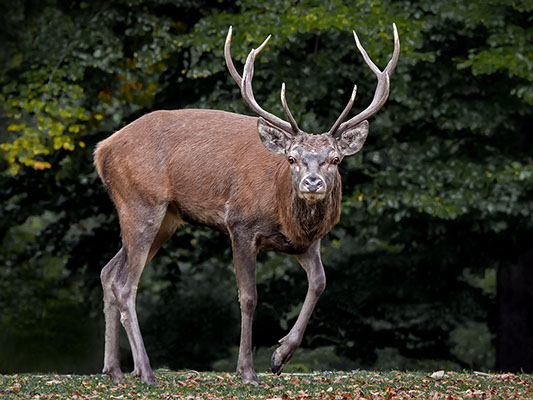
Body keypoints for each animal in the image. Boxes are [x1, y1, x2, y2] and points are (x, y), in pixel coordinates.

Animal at [92, 24, 400, 384]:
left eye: (335, 159)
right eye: (292, 158)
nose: (312, 183)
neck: (281, 209)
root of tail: (101, 150)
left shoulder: (306, 242)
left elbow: (320, 283)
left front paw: (280, 356)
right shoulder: (240, 224)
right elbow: (249, 297)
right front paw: (247, 371)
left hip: (165, 219)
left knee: (109, 272)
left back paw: (115, 369)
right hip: (140, 203)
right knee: (126, 283)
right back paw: (146, 371)